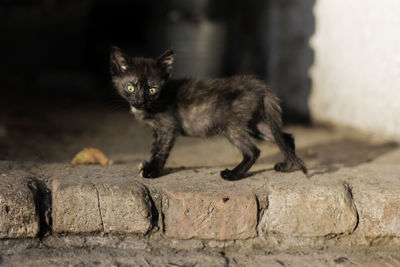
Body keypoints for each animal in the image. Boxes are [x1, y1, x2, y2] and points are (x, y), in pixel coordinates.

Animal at [109, 47, 306, 182]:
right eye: (130, 87)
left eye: (152, 89)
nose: (140, 101)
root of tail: (257, 84)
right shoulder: (157, 130)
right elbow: (154, 148)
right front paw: (148, 165)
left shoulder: (168, 128)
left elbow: (161, 151)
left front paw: (153, 171)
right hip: (254, 124)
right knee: (286, 138)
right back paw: (289, 166)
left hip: (232, 126)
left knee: (253, 151)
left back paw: (233, 175)